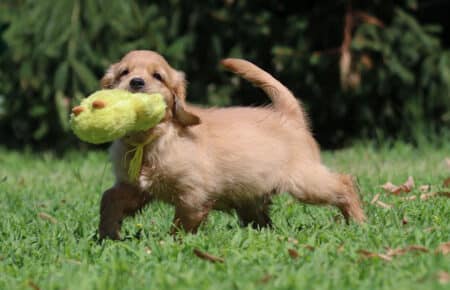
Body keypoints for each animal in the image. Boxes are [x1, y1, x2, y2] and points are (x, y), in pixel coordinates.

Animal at [98, 50, 366, 240]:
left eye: (158, 76)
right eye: (123, 73)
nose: (136, 82)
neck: (150, 139)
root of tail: (288, 115)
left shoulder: (193, 193)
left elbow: (182, 224)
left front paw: (170, 244)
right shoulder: (135, 187)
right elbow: (109, 198)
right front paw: (107, 234)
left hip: (304, 180)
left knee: (343, 183)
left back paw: (358, 220)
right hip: (251, 199)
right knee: (263, 221)